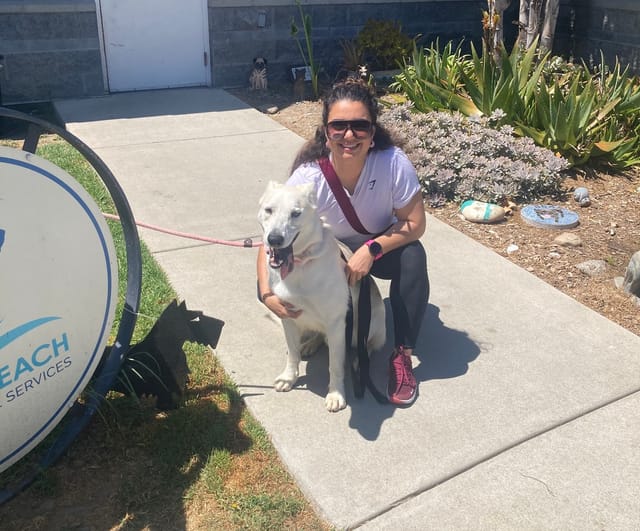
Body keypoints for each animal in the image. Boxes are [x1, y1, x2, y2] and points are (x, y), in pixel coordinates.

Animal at [256, 182, 384, 412]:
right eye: (269, 210)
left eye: (296, 213)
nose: (274, 239)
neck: (301, 263)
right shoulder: (287, 317)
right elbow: (292, 353)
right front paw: (289, 377)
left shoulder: (337, 324)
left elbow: (335, 365)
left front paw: (336, 394)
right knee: (318, 336)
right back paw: (310, 344)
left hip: (365, 326)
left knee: (368, 344)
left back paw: (359, 361)